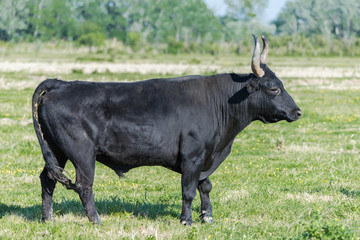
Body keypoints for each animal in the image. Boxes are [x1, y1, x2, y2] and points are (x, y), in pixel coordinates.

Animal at [32, 35, 300, 225]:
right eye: (274, 88)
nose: (297, 112)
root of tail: (60, 84)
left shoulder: (205, 157)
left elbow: (205, 186)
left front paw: (207, 216)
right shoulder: (193, 157)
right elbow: (188, 190)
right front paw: (187, 220)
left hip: (57, 151)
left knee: (47, 179)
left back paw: (48, 218)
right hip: (81, 154)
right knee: (84, 186)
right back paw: (96, 220)